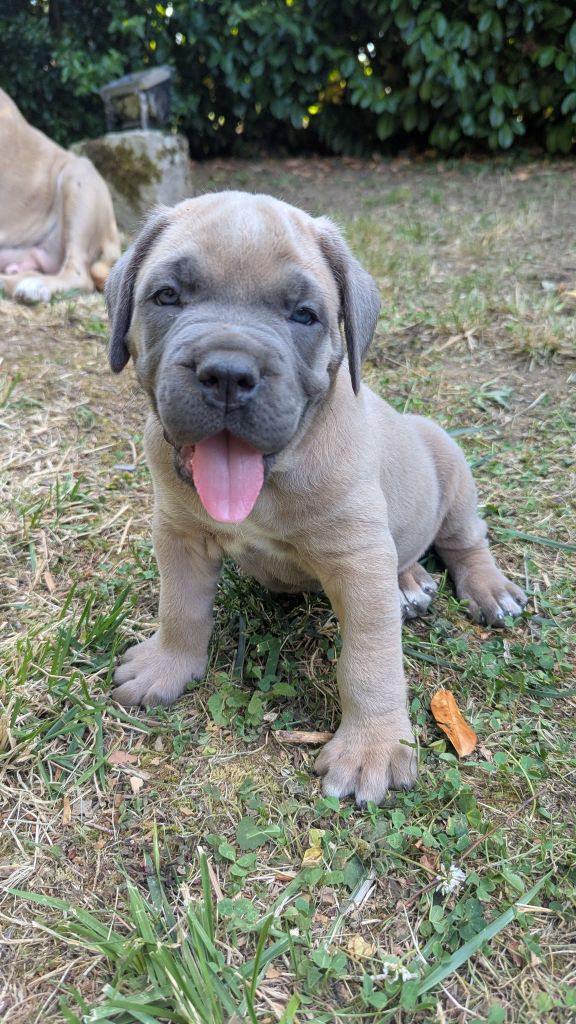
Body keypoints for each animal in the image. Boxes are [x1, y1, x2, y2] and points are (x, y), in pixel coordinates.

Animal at [105, 191, 527, 805]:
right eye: (167, 297)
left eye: (304, 315)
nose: (227, 373)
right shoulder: (179, 534)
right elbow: (181, 607)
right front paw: (166, 665)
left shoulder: (357, 560)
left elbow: (370, 660)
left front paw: (372, 747)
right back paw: (409, 583)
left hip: (451, 472)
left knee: (465, 542)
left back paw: (487, 590)